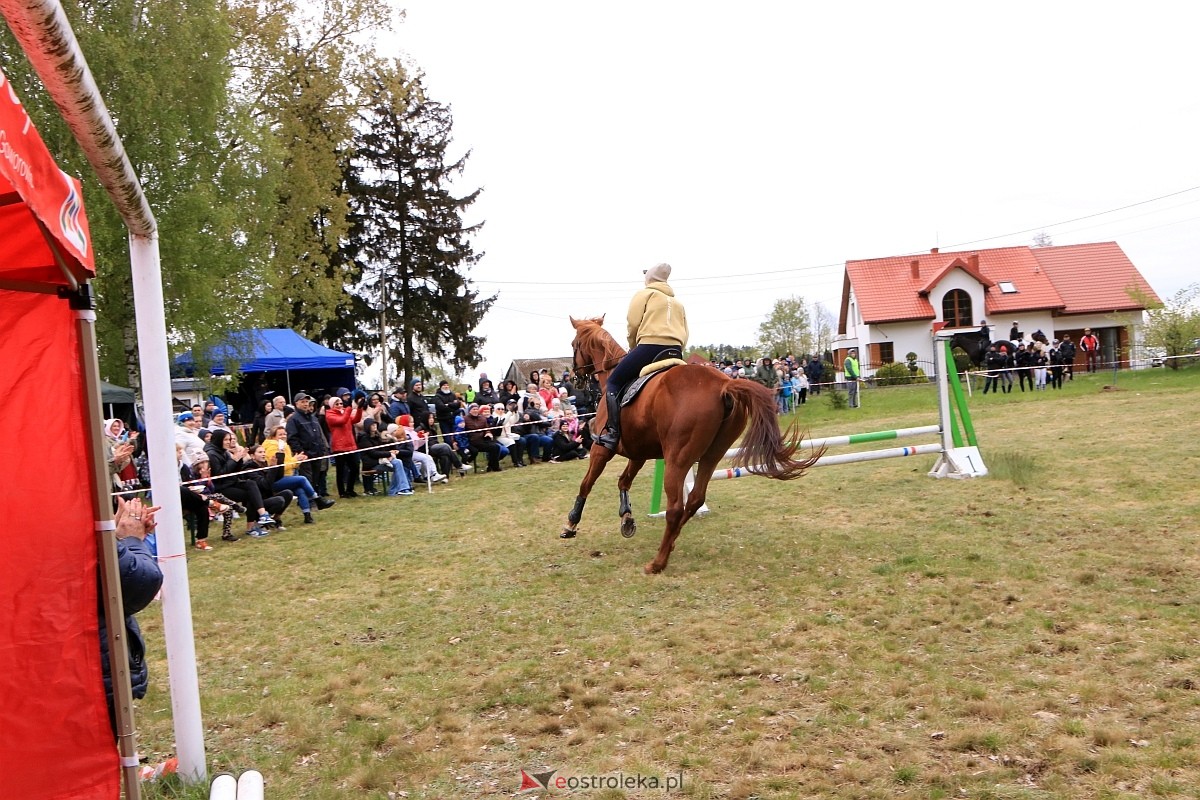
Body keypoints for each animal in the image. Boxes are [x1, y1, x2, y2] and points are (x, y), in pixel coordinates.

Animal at [566, 316, 820, 573]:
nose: (576, 376)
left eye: (574, 344)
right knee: (695, 499)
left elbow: (586, 484)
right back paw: (669, 544)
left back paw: (657, 562)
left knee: (676, 507)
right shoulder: (638, 454)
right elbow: (623, 481)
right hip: (712, 455)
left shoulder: (601, 449)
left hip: (677, 460)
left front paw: (571, 524)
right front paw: (627, 519)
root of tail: (723, 385)